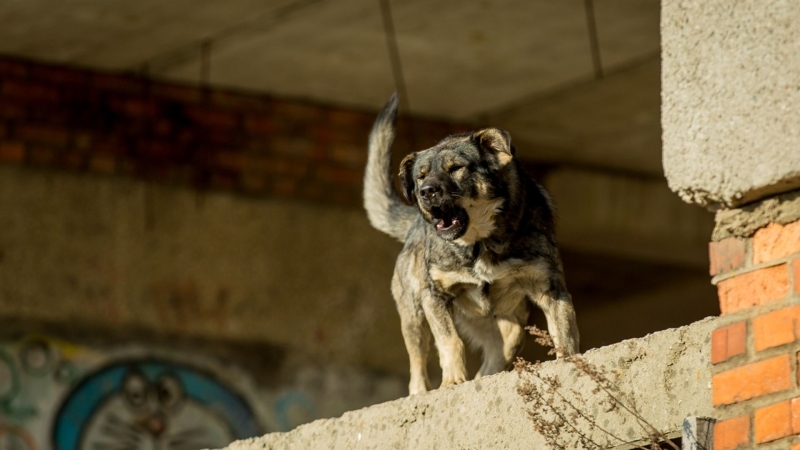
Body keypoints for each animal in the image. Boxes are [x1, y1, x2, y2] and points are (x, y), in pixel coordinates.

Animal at [364, 94, 580, 394]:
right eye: (420, 176)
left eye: (456, 168)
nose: (425, 192)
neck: (480, 243)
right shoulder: (435, 296)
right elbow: (450, 341)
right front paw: (453, 380)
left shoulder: (550, 287)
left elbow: (564, 330)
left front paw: (570, 362)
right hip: (413, 315)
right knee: (417, 363)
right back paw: (420, 392)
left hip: (509, 331)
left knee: (492, 361)